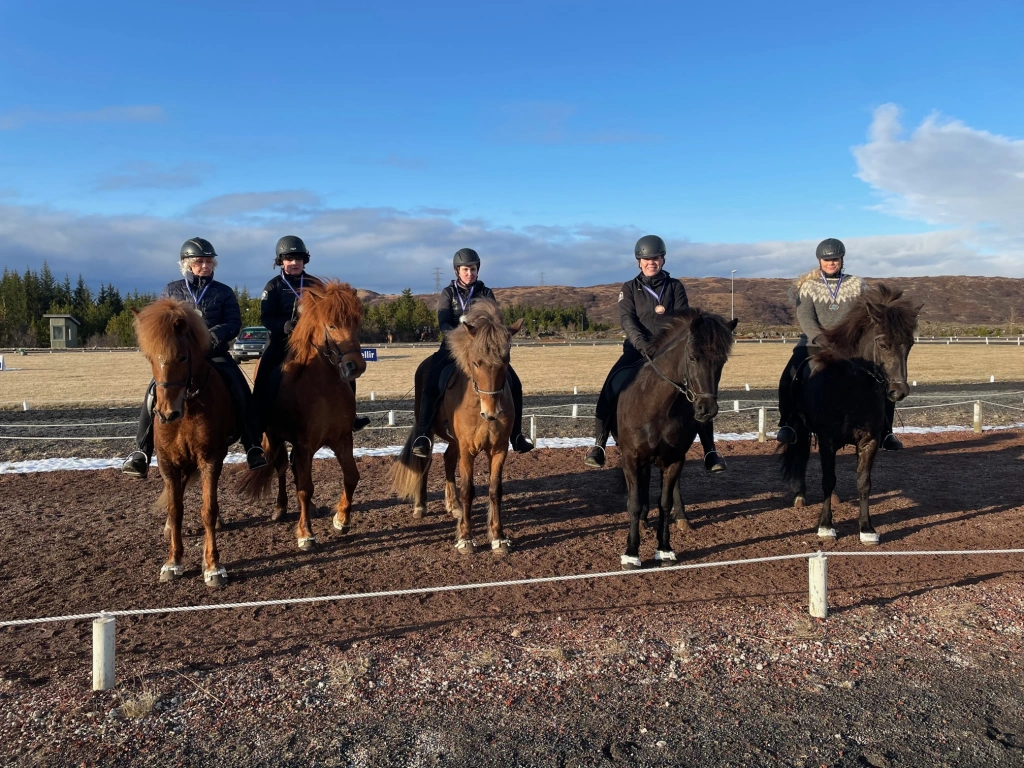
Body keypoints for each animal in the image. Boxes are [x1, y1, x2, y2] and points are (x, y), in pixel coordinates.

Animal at [133, 298, 236, 587]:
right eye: (149, 358)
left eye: (182, 357)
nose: (167, 413)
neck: (188, 407)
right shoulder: (168, 463)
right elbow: (175, 508)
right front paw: (173, 561)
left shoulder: (210, 458)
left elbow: (208, 509)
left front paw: (212, 566)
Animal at [238, 280, 366, 550]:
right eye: (332, 325)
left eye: (356, 323)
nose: (355, 366)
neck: (324, 386)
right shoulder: (304, 443)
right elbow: (306, 488)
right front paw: (306, 534)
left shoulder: (341, 439)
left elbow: (351, 476)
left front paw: (342, 520)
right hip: (275, 438)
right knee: (282, 468)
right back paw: (280, 508)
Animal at [391, 300, 524, 554]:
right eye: (475, 362)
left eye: (506, 361)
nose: (492, 412)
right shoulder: (468, 450)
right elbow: (468, 490)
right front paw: (466, 538)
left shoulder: (499, 449)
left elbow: (495, 490)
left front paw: (498, 537)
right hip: (428, 432)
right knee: (425, 462)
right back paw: (421, 506)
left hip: (454, 441)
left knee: (448, 459)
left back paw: (453, 506)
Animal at [614, 308, 738, 569]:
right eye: (692, 357)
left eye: (721, 361)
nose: (706, 409)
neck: (658, 405)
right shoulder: (630, 458)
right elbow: (633, 503)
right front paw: (631, 553)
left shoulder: (675, 459)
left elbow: (665, 502)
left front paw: (664, 549)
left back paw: (681, 518)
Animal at [781, 284, 921, 544]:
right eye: (884, 344)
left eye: (910, 344)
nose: (899, 391)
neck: (851, 387)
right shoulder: (827, 441)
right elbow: (827, 480)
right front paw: (826, 526)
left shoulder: (869, 441)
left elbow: (864, 482)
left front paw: (867, 528)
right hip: (800, 429)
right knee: (801, 456)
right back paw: (800, 495)